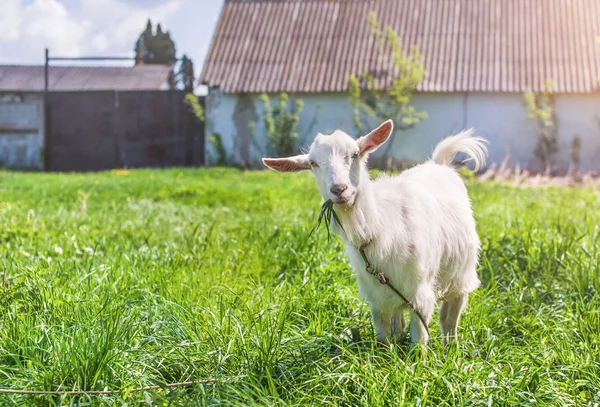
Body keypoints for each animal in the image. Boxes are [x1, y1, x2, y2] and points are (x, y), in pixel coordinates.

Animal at [264, 120, 488, 348]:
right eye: (313, 163)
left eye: (355, 154)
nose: (339, 189)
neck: (379, 226)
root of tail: (438, 163)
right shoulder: (377, 296)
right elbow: (382, 338)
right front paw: (386, 352)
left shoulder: (420, 292)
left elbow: (419, 340)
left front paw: (419, 357)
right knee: (400, 314)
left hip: (461, 274)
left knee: (450, 317)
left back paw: (452, 347)